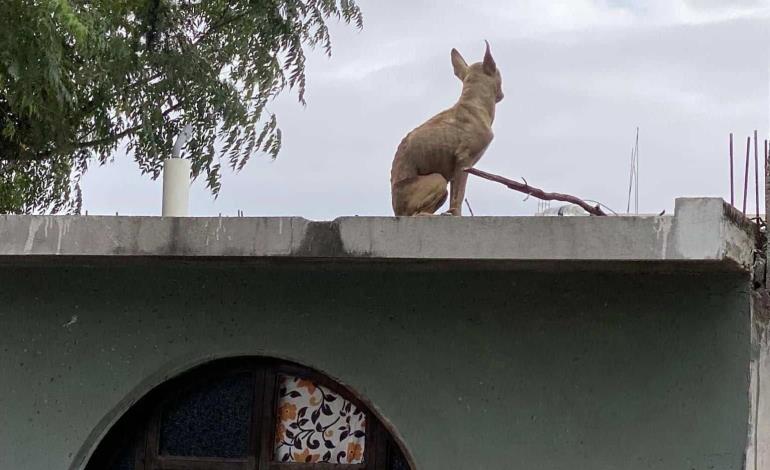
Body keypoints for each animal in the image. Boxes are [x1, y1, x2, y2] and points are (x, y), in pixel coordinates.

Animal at [390, 41, 504, 215]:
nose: (502, 94)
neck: (474, 103)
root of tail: (396, 210)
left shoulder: (457, 170)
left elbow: (454, 197)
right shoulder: (464, 161)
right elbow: (459, 196)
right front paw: (457, 215)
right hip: (438, 179)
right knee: (418, 213)